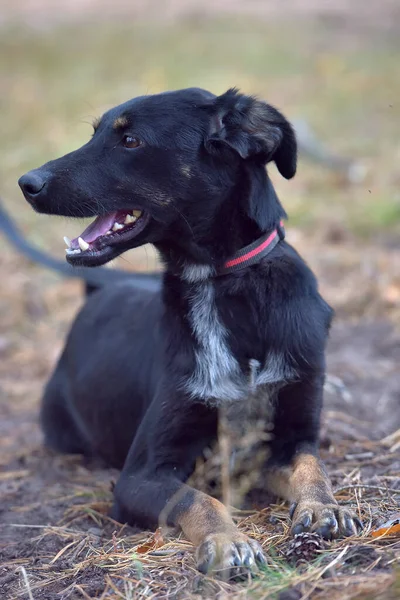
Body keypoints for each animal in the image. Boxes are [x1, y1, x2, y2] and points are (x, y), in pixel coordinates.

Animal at [16, 86, 362, 576]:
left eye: (130, 140)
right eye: (95, 133)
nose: (26, 183)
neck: (222, 282)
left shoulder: (290, 437)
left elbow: (313, 466)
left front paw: (323, 506)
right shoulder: (140, 475)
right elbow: (198, 500)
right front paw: (227, 540)